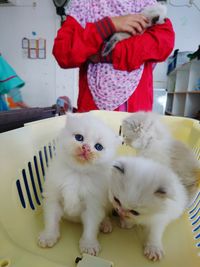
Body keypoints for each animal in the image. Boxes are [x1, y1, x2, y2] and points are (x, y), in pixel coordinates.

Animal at [38, 112, 120, 256]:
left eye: (98, 147)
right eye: (79, 137)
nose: (86, 148)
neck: (78, 173)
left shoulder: (93, 205)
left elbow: (91, 227)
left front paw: (89, 244)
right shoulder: (53, 197)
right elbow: (51, 220)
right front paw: (48, 236)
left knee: (104, 215)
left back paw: (105, 223)